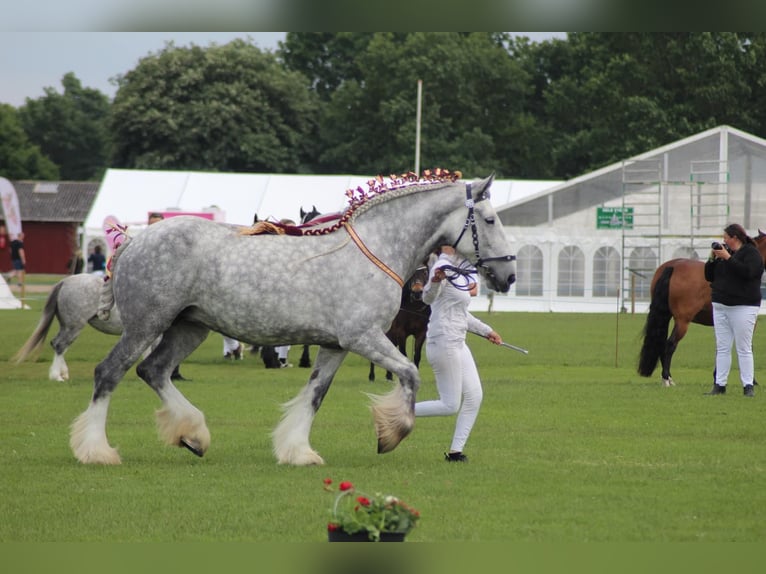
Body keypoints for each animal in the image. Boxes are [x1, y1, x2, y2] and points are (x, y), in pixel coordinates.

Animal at [72, 172, 520, 468]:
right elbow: (409, 373)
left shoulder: (336, 346)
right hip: (146, 326)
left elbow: (315, 395)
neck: (375, 250)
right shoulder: (364, 338)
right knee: (109, 373)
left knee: (154, 371)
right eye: (490, 219)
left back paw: (193, 435)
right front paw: (389, 434)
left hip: (188, 327)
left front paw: (298, 451)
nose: (510, 275)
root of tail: (133, 241)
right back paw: (96, 450)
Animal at [640, 232, 766, 390]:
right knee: (670, 345)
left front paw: (717, 377)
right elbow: (746, 347)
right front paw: (752, 381)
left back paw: (668, 378)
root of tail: (672, 266)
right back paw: (666, 379)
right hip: (682, 322)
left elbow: (721, 348)